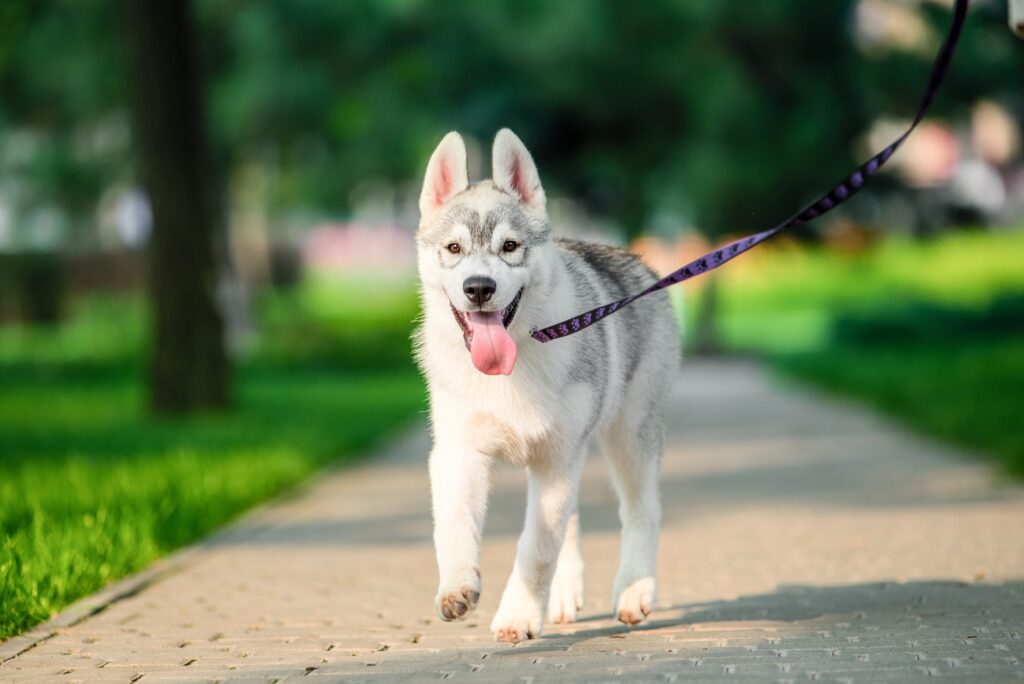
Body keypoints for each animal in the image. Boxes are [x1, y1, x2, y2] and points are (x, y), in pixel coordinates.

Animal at [407, 127, 679, 643]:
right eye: (453, 250)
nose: (478, 288)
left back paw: (634, 591)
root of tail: (634, 261)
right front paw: (457, 587)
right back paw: (566, 596)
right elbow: (453, 524)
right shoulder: (459, 451)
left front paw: (517, 615)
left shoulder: (556, 458)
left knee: (643, 510)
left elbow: (537, 546)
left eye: (510, 246)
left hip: (629, 437)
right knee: (573, 520)